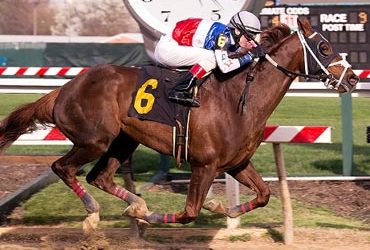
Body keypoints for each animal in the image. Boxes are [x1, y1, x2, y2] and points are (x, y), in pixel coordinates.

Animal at [0, 17, 358, 229]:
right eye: (325, 47)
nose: (353, 78)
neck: (238, 99)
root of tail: (64, 89)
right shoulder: (205, 164)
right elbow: (189, 213)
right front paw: (155, 215)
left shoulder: (237, 163)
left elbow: (264, 194)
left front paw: (221, 207)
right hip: (94, 140)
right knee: (63, 168)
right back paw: (95, 212)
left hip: (123, 140)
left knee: (98, 176)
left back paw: (134, 205)